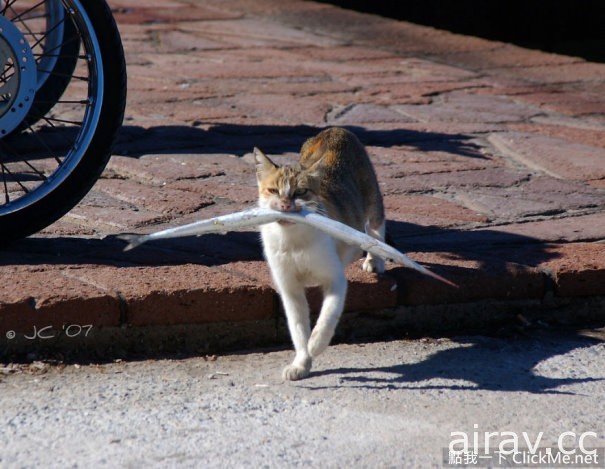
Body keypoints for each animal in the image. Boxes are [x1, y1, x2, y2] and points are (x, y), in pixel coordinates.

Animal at [252, 127, 384, 380]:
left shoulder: (335, 279)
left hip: (372, 195)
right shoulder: (289, 287)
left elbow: (327, 317)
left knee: (376, 228)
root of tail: (335, 129)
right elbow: (298, 328)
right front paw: (301, 363)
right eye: (273, 190)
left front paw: (316, 345)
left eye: (301, 191)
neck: (294, 242)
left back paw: (375, 259)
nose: (285, 204)